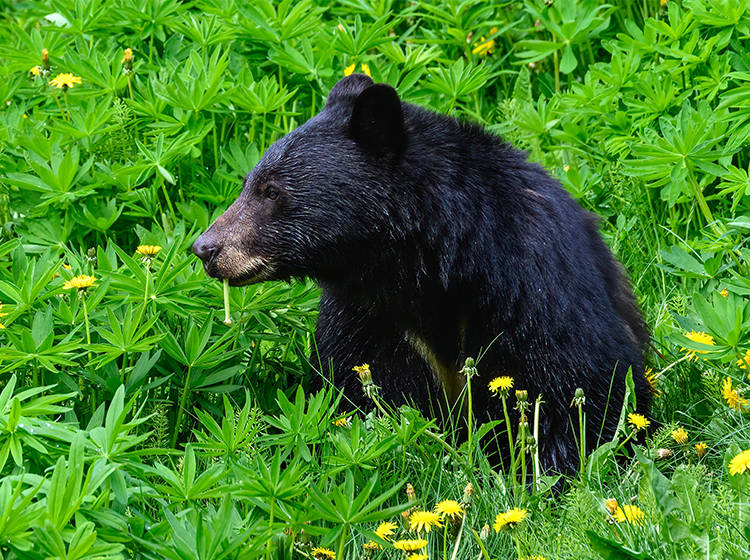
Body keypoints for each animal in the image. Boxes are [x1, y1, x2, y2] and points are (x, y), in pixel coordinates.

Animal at [192, 74, 650, 477]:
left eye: (271, 191)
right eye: (249, 182)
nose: (205, 249)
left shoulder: (534, 287)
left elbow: (576, 385)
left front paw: (556, 476)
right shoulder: (370, 318)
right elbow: (365, 389)